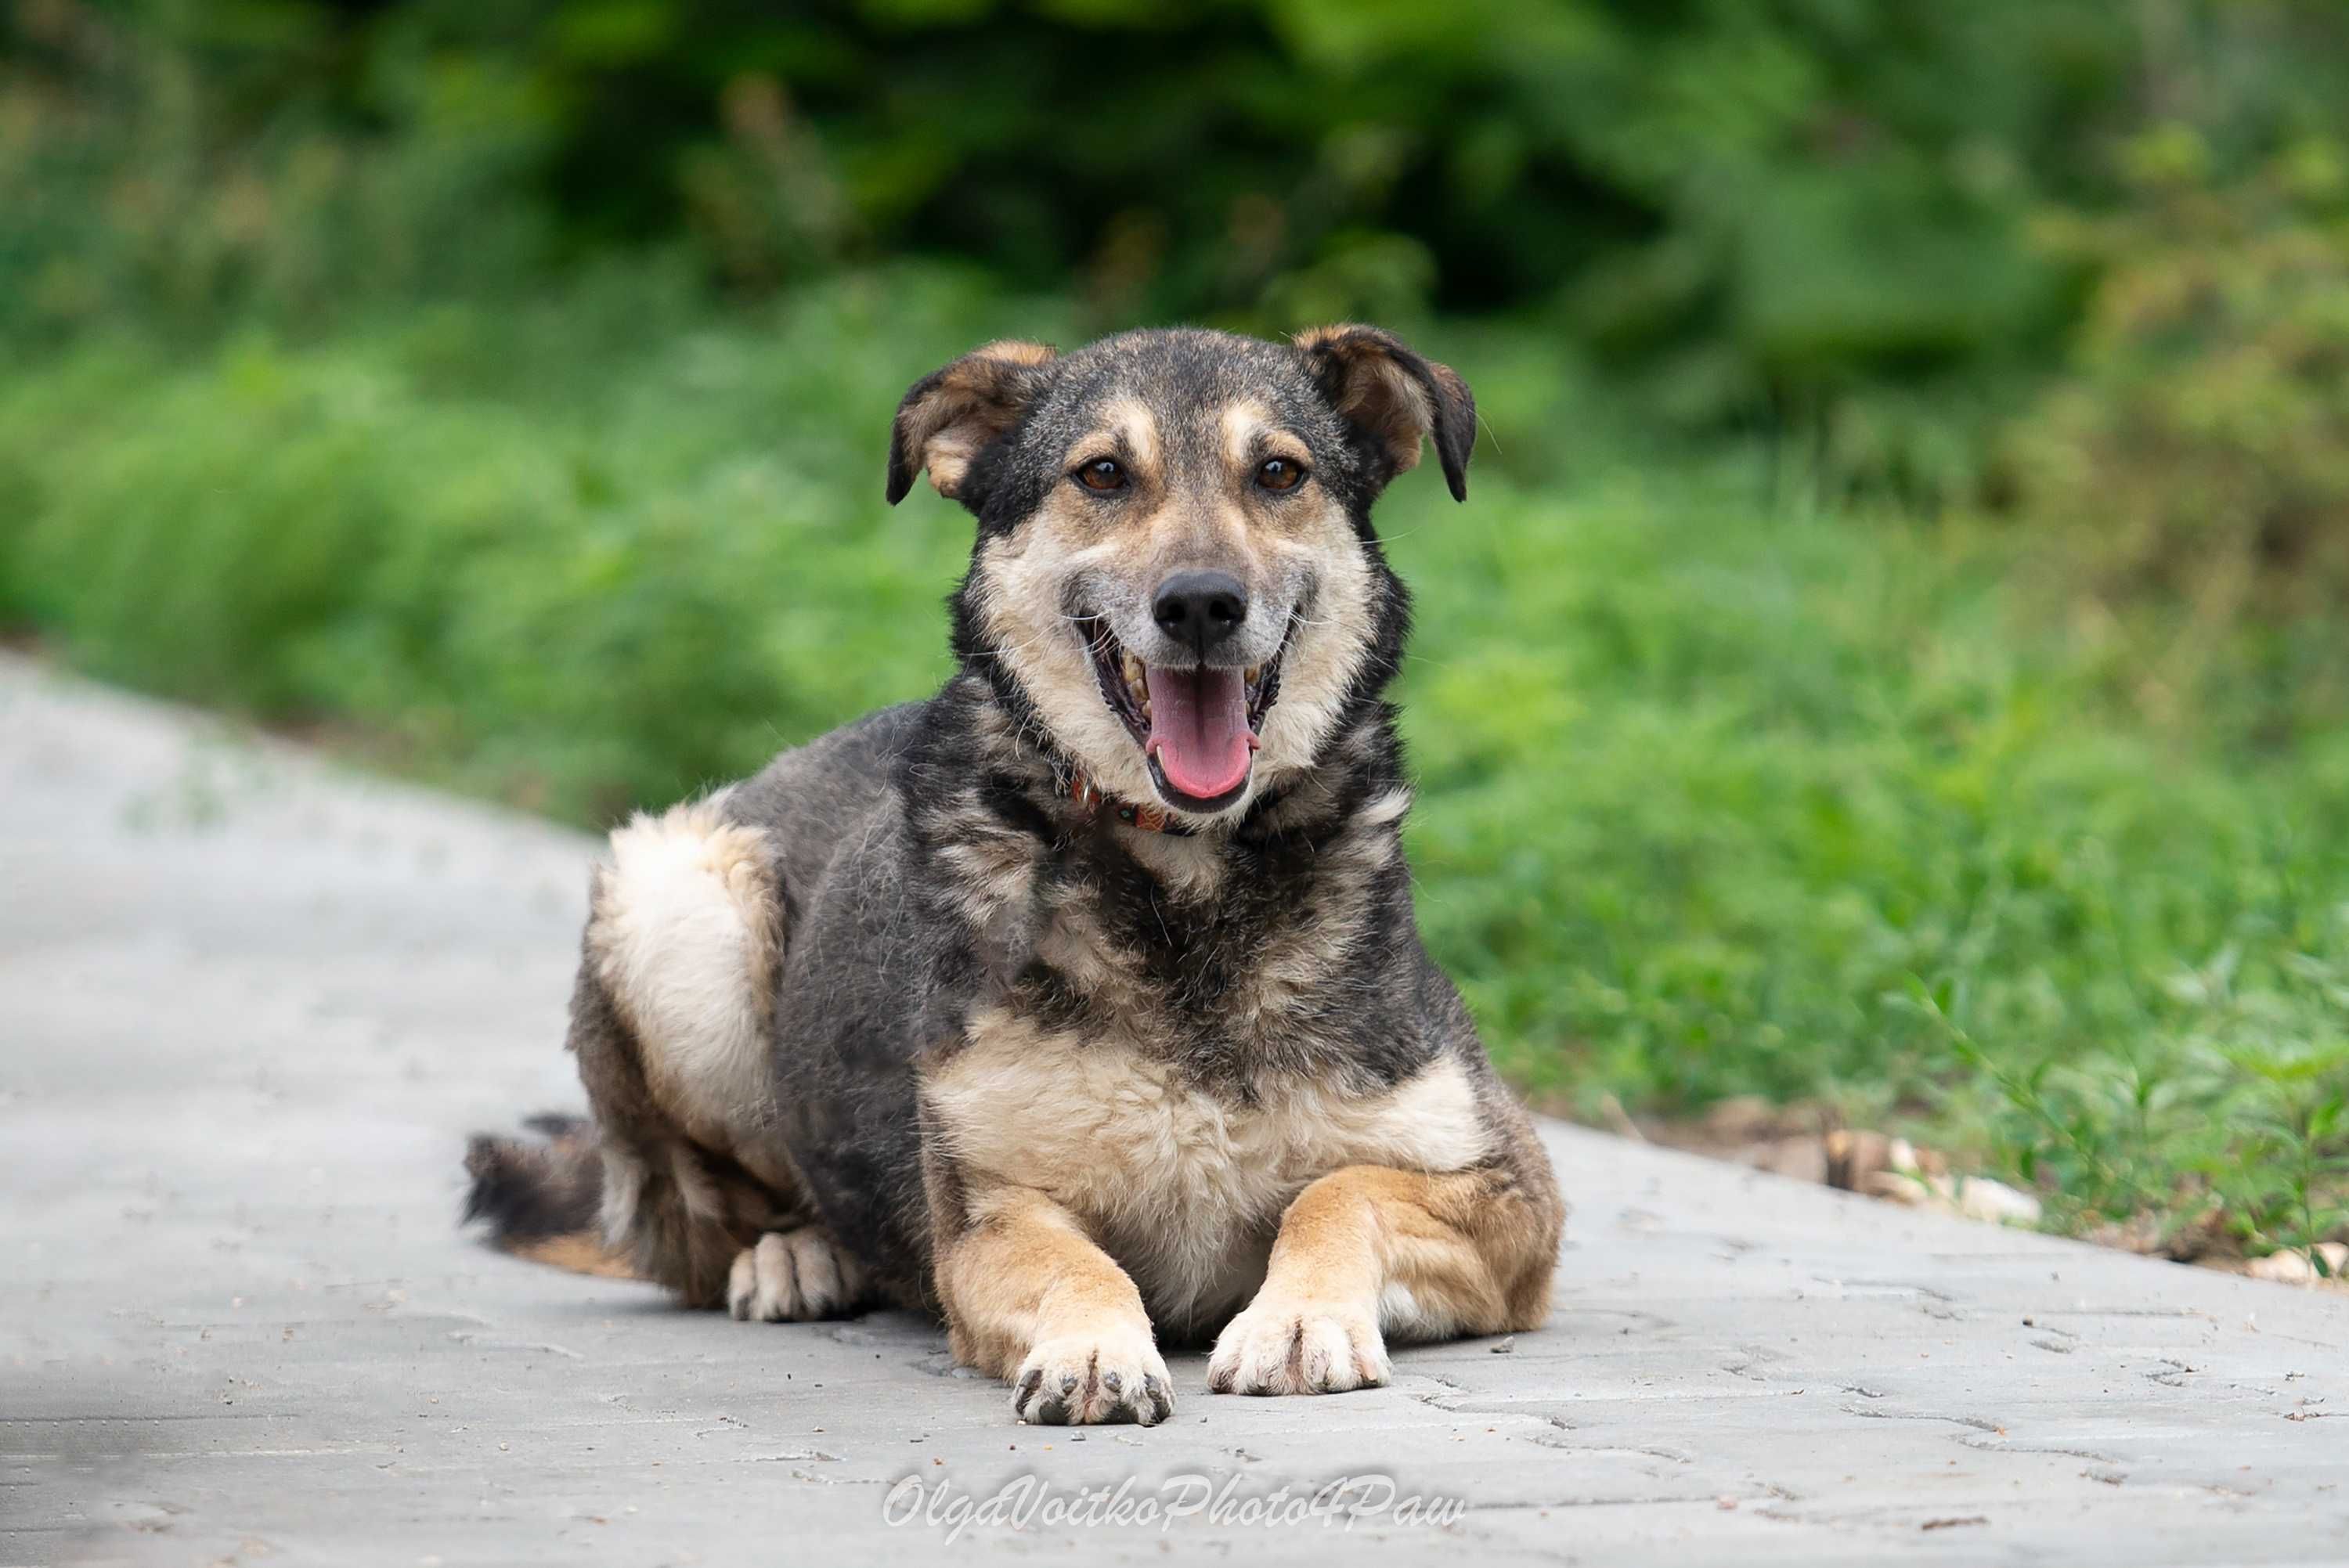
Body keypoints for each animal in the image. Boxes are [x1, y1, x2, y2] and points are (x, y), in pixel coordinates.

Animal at [463, 323, 1560, 1427]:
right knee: (709, 1221)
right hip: (678, 901)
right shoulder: (988, 1215)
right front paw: (1093, 1346)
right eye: (1104, 473)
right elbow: (1078, 1263)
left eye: (1280, 472)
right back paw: (794, 1256)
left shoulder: (1513, 1194)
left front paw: (1297, 1319)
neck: (1183, 874)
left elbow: (1339, 1190)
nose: (1202, 604)